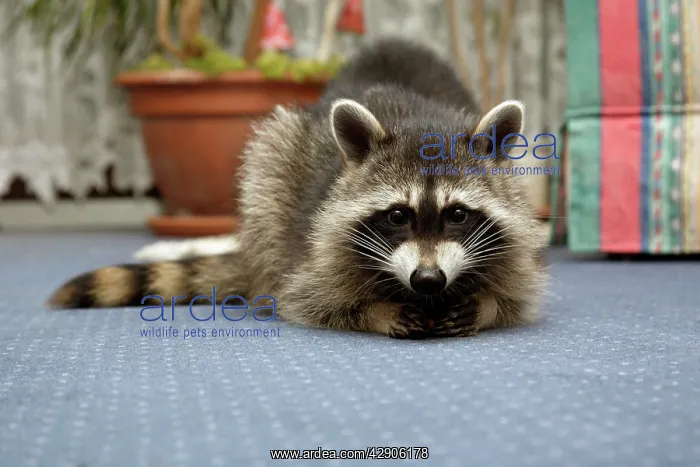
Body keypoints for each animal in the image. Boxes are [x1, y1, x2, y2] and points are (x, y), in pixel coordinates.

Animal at [48, 37, 548, 339]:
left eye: (458, 214)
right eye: (397, 215)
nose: (428, 279)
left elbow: (515, 295)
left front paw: (484, 303)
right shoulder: (317, 250)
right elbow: (311, 300)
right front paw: (375, 311)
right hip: (274, 171)